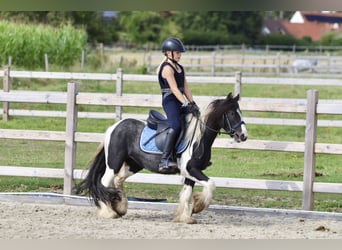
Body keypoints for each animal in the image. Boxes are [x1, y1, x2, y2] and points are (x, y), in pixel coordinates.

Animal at [76, 92, 248, 225]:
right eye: (232, 113)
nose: (243, 136)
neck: (198, 139)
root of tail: (114, 127)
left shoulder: (191, 172)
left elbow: (187, 193)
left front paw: (185, 217)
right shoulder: (190, 169)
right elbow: (211, 185)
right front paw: (198, 207)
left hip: (134, 164)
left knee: (118, 180)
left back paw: (120, 208)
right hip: (114, 162)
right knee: (105, 182)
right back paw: (108, 212)